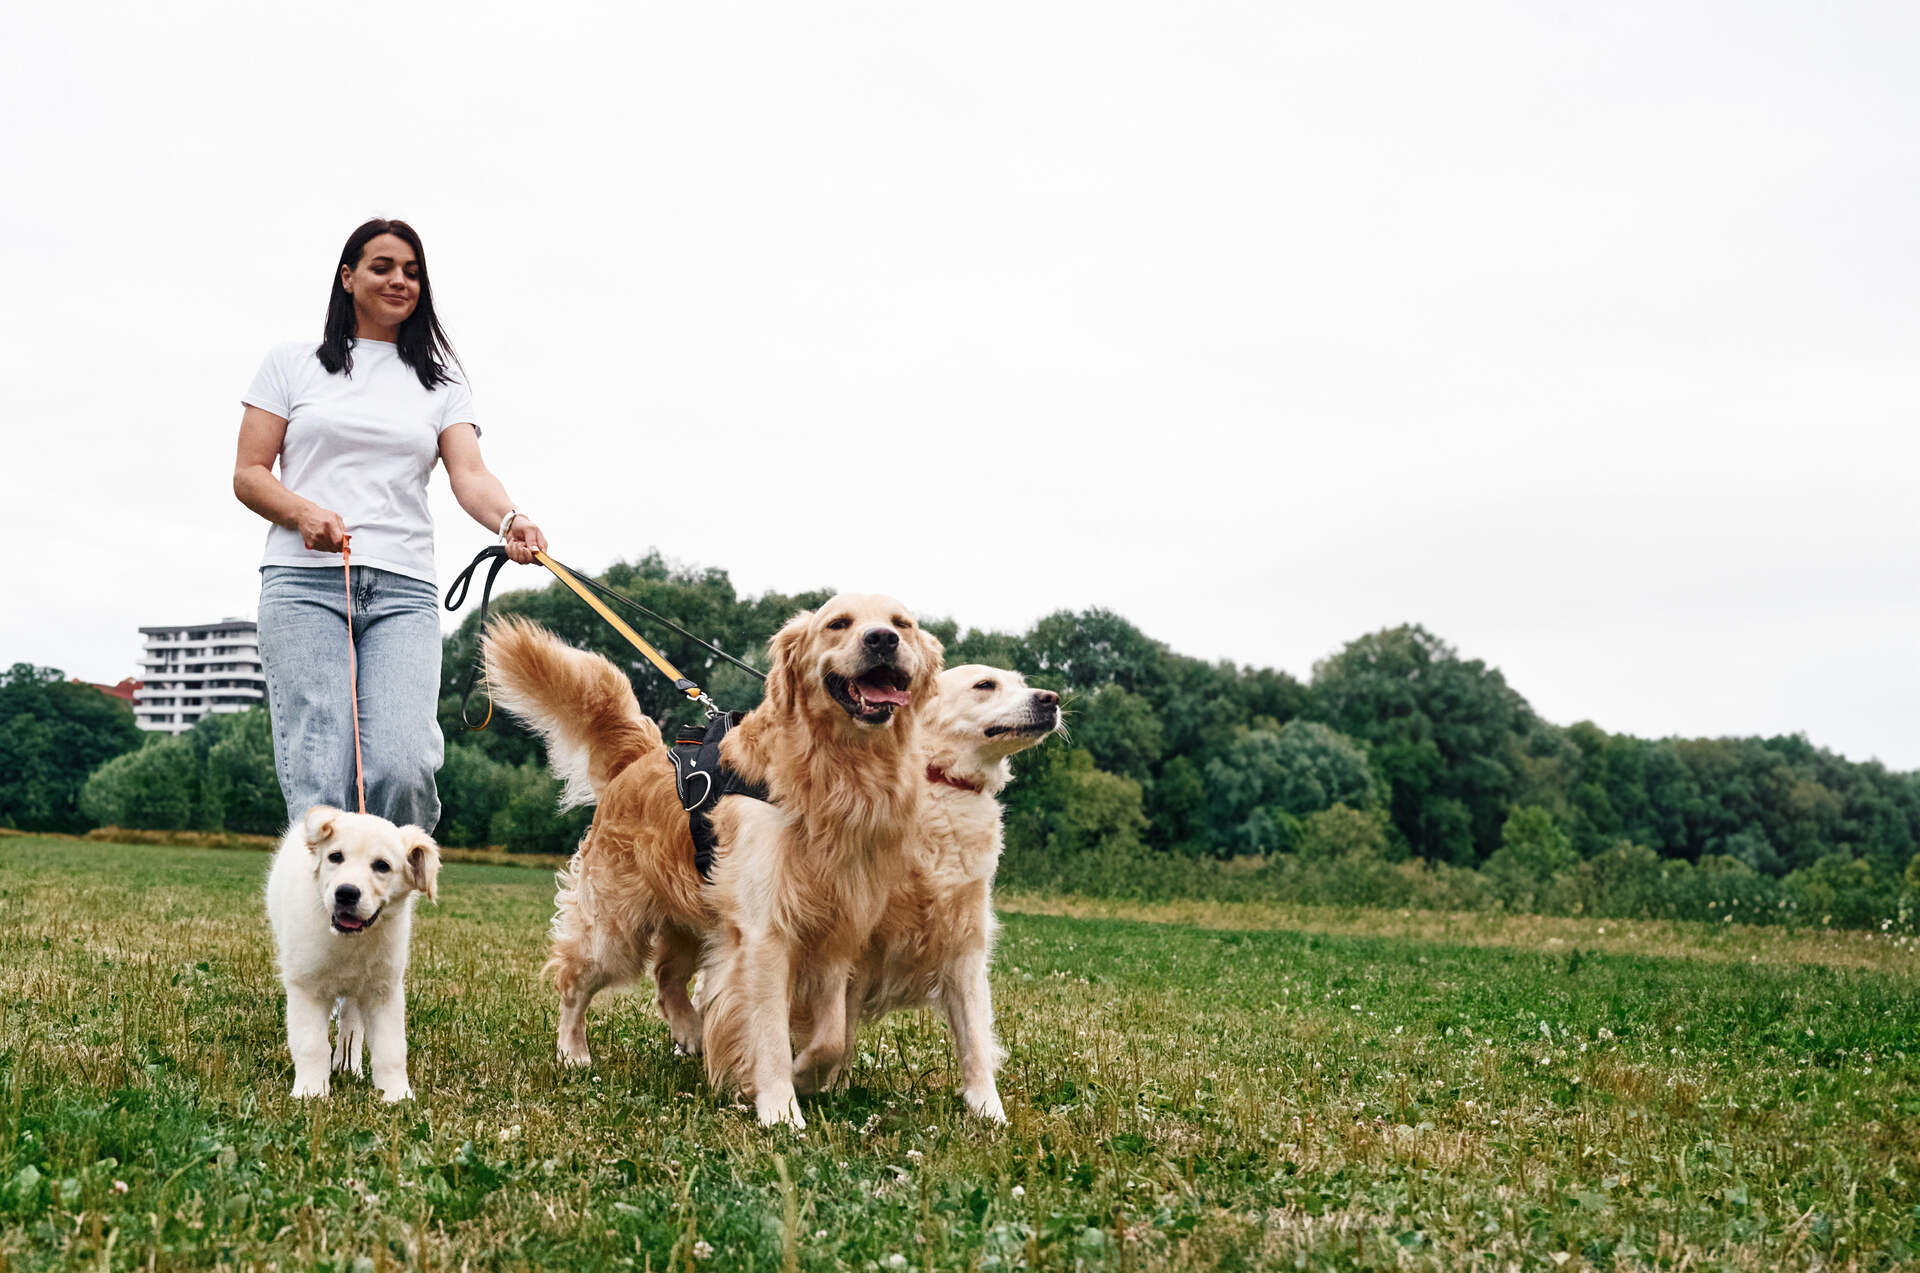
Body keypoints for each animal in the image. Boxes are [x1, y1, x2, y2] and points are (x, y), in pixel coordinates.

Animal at [264, 810, 439, 1098]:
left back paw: (347, 1066)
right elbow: (311, 1044)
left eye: (382, 866)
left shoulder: (384, 990)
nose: (346, 893)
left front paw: (397, 1095)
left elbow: (391, 1050)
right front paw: (311, 1092)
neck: (351, 941)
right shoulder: (307, 986)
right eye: (335, 857)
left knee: (351, 1024)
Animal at [794, 660, 1067, 1121]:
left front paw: (988, 1110)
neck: (942, 784)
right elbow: (838, 1033)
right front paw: (826, 1088)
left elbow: (975, 1038)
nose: (1052, 699)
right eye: (985, 685)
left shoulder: (965, 950)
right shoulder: (854, 950)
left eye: (1023, 683)